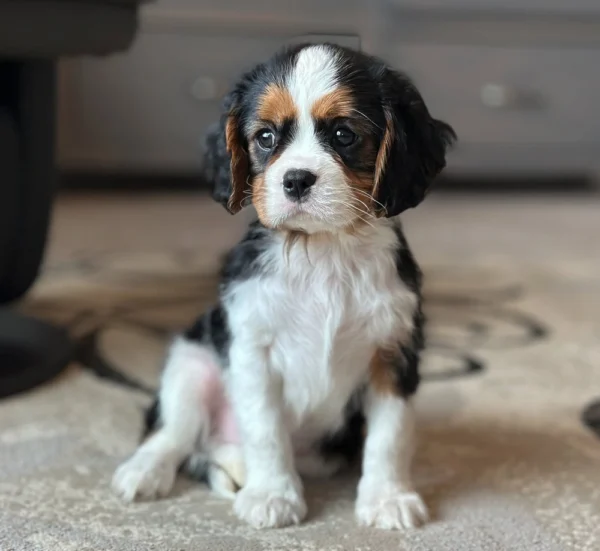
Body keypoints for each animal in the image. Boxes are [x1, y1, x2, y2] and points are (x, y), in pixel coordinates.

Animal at [112, 43, 454, 532]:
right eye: (266, 138)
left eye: (344, 134)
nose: (295, 179)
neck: (323, 251)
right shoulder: (252, 348)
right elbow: (265, 429)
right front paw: (272, 494)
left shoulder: (393, 351)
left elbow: (390, 436)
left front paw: (387, 498)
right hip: (190, 362)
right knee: (173, 433)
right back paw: (144, 472)